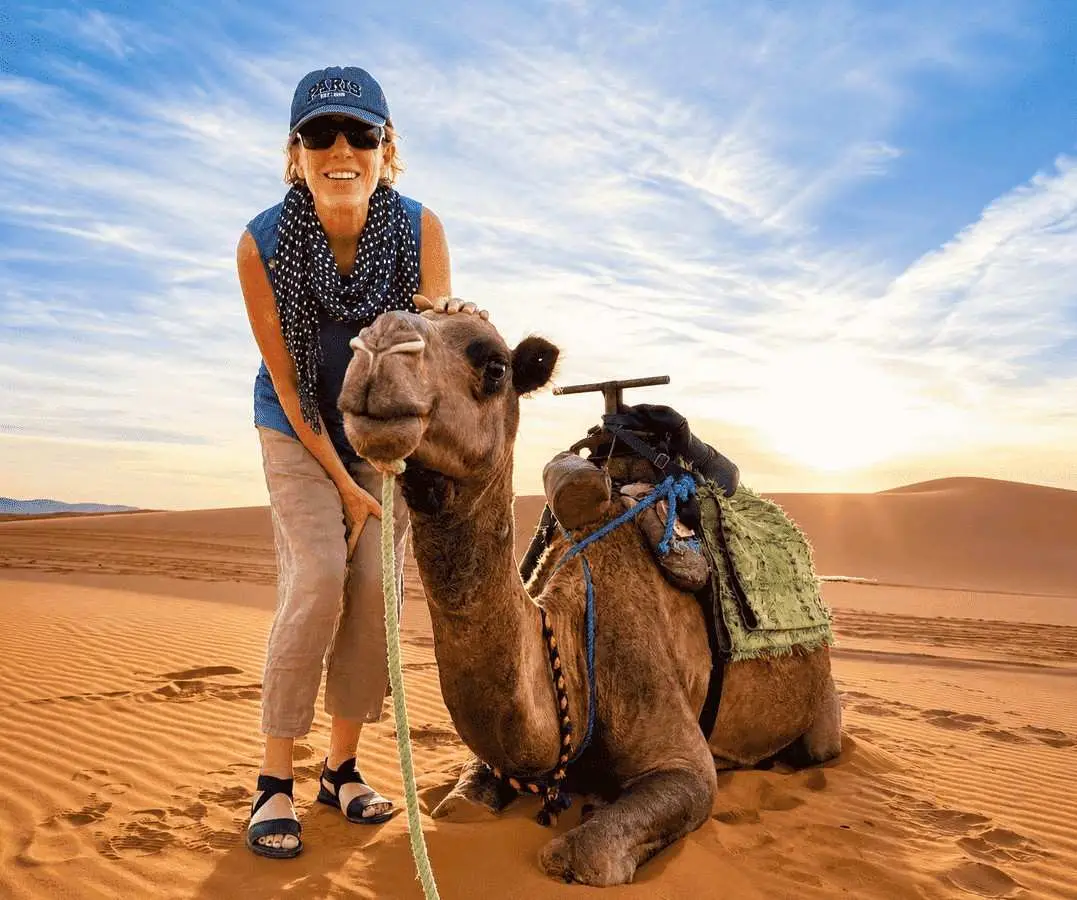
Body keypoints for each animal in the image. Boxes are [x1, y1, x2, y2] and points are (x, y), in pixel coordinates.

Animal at [338, 301, 843, 886]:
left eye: (495, 366)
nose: (378, 346)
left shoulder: (685, 762)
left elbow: (583, 855)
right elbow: (461, 805)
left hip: (822, 712)